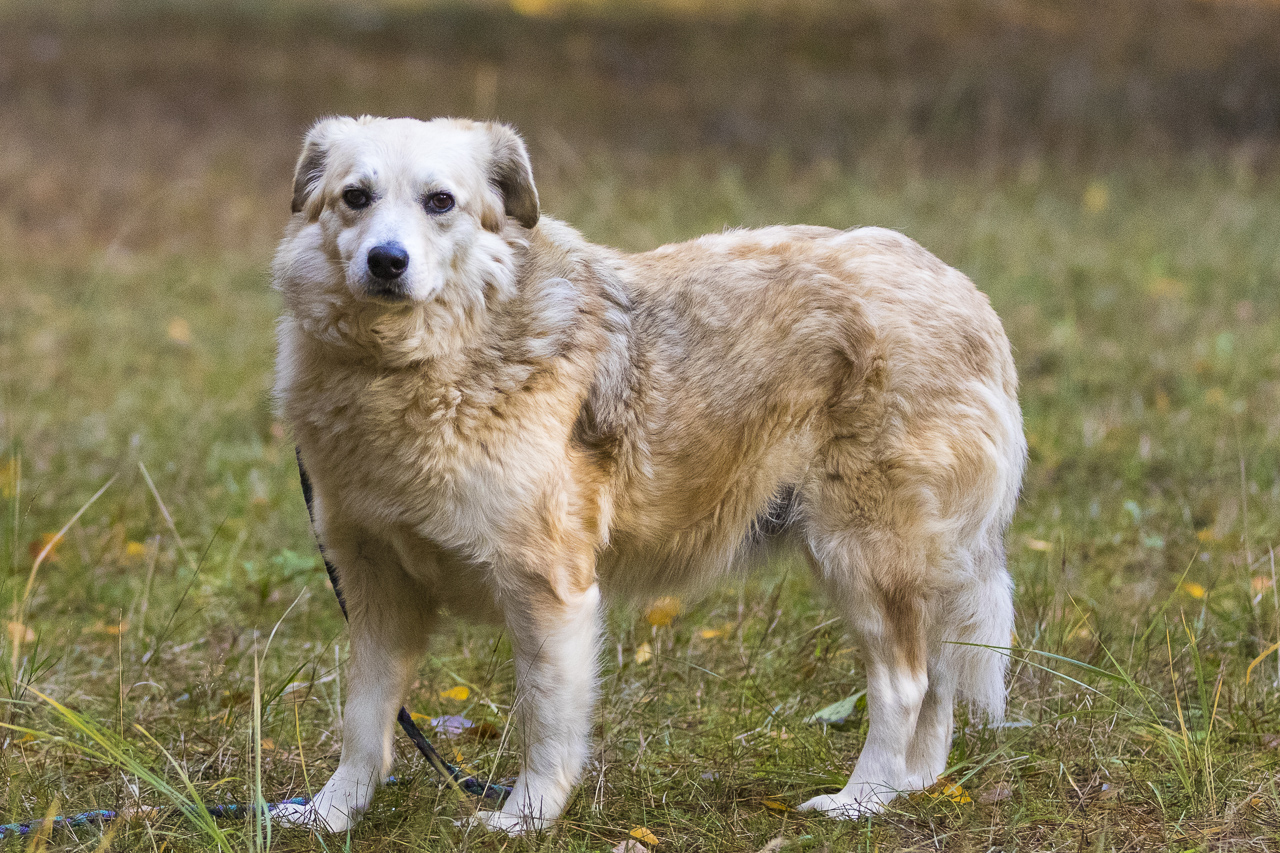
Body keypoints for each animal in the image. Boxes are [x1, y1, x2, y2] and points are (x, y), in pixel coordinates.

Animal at [271, 116, 1025, 836]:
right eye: (355, 197)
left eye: (441, 202)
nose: (386, 261)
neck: (416, 365)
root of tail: (963, 293)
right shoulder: (375, 589)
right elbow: (365, 722)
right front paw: (331, 814)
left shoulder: (550, 591)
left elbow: (545, 725)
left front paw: (524, 818)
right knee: (937, 680)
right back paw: (909, 787)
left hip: (862, 555)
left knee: (905, 684)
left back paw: (861, 802)